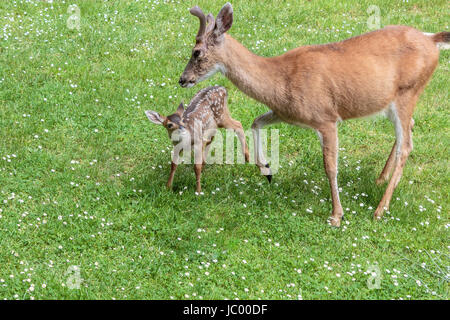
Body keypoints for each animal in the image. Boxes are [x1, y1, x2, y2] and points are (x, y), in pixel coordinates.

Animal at [178, 3, 448, 228]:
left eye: (196, 51)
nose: (182, 79)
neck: (280, 78)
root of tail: (432, 39)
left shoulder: (326, 118)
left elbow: (330, 166)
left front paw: (337, 216)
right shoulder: (287, 113)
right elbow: (256, 122)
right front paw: (266, 168)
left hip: (407, 91)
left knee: (407, 144)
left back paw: (380, 209)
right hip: (397, 100)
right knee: (409, 128)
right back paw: (380, 179)